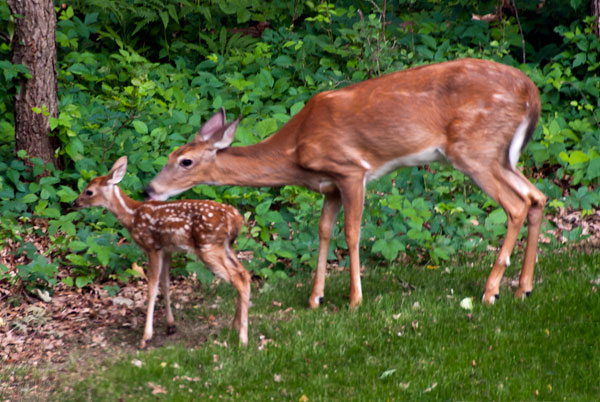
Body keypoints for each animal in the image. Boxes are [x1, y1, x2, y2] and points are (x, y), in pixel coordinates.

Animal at [73, 155, 251, 348]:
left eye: (89, 191)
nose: (74, 203)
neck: (132, 215)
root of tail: (237, 218)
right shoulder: (167, 249)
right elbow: (165, 283)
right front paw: (170, 325)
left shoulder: (152, 247)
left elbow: (152, 287)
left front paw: (146, 337)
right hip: (226, 247)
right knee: (245, 273)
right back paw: (234, 327)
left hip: (209, 247)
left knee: (238, 278)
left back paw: (243, 339)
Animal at [144, 57, 544, 308]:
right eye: (170, 155)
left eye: (185, 161)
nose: (150, 190)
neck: (296, 148)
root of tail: (531, 90)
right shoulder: (330, 185)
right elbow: (323, 231)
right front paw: (315, 298)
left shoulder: (351, 170)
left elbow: (352, 233)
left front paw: (354, 300)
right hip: (500, 155)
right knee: (537, 196)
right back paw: (523, 289)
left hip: (474, 150)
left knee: (516, 204)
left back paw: (491, 291)